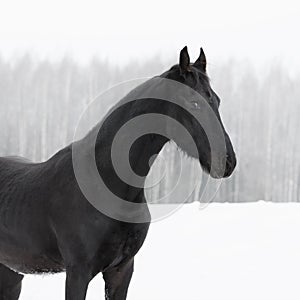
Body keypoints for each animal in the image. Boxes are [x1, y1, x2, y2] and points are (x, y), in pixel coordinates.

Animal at [0, 46, 234, 298]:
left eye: (217, 100)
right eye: (193, 102)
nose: (227, 161)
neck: (107, 183)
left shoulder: (121, 270)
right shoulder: (78, 273)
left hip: (12, 275)